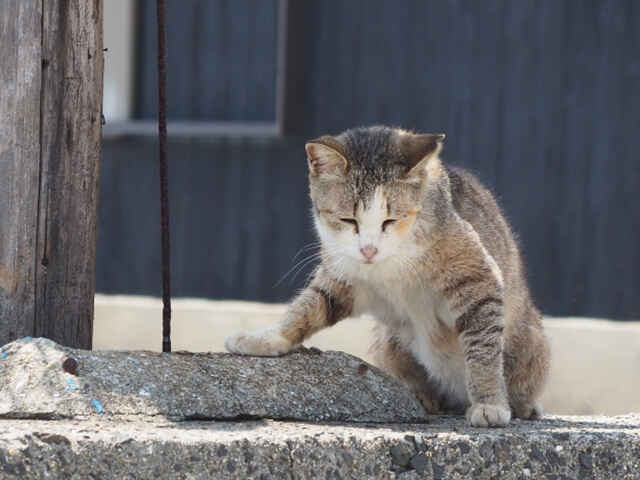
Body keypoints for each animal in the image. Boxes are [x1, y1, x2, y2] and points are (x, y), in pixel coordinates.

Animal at [225, 125, 552, 426]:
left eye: (391, 219)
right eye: (348, 220)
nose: (369, 249)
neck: (391, 263)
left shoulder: (476, 276)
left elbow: (483, 348)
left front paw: (489, 403)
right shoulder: (344, 274)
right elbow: (309, 306)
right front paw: (266, 337)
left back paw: (522, 406)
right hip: (388, 343)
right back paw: (421, 395)